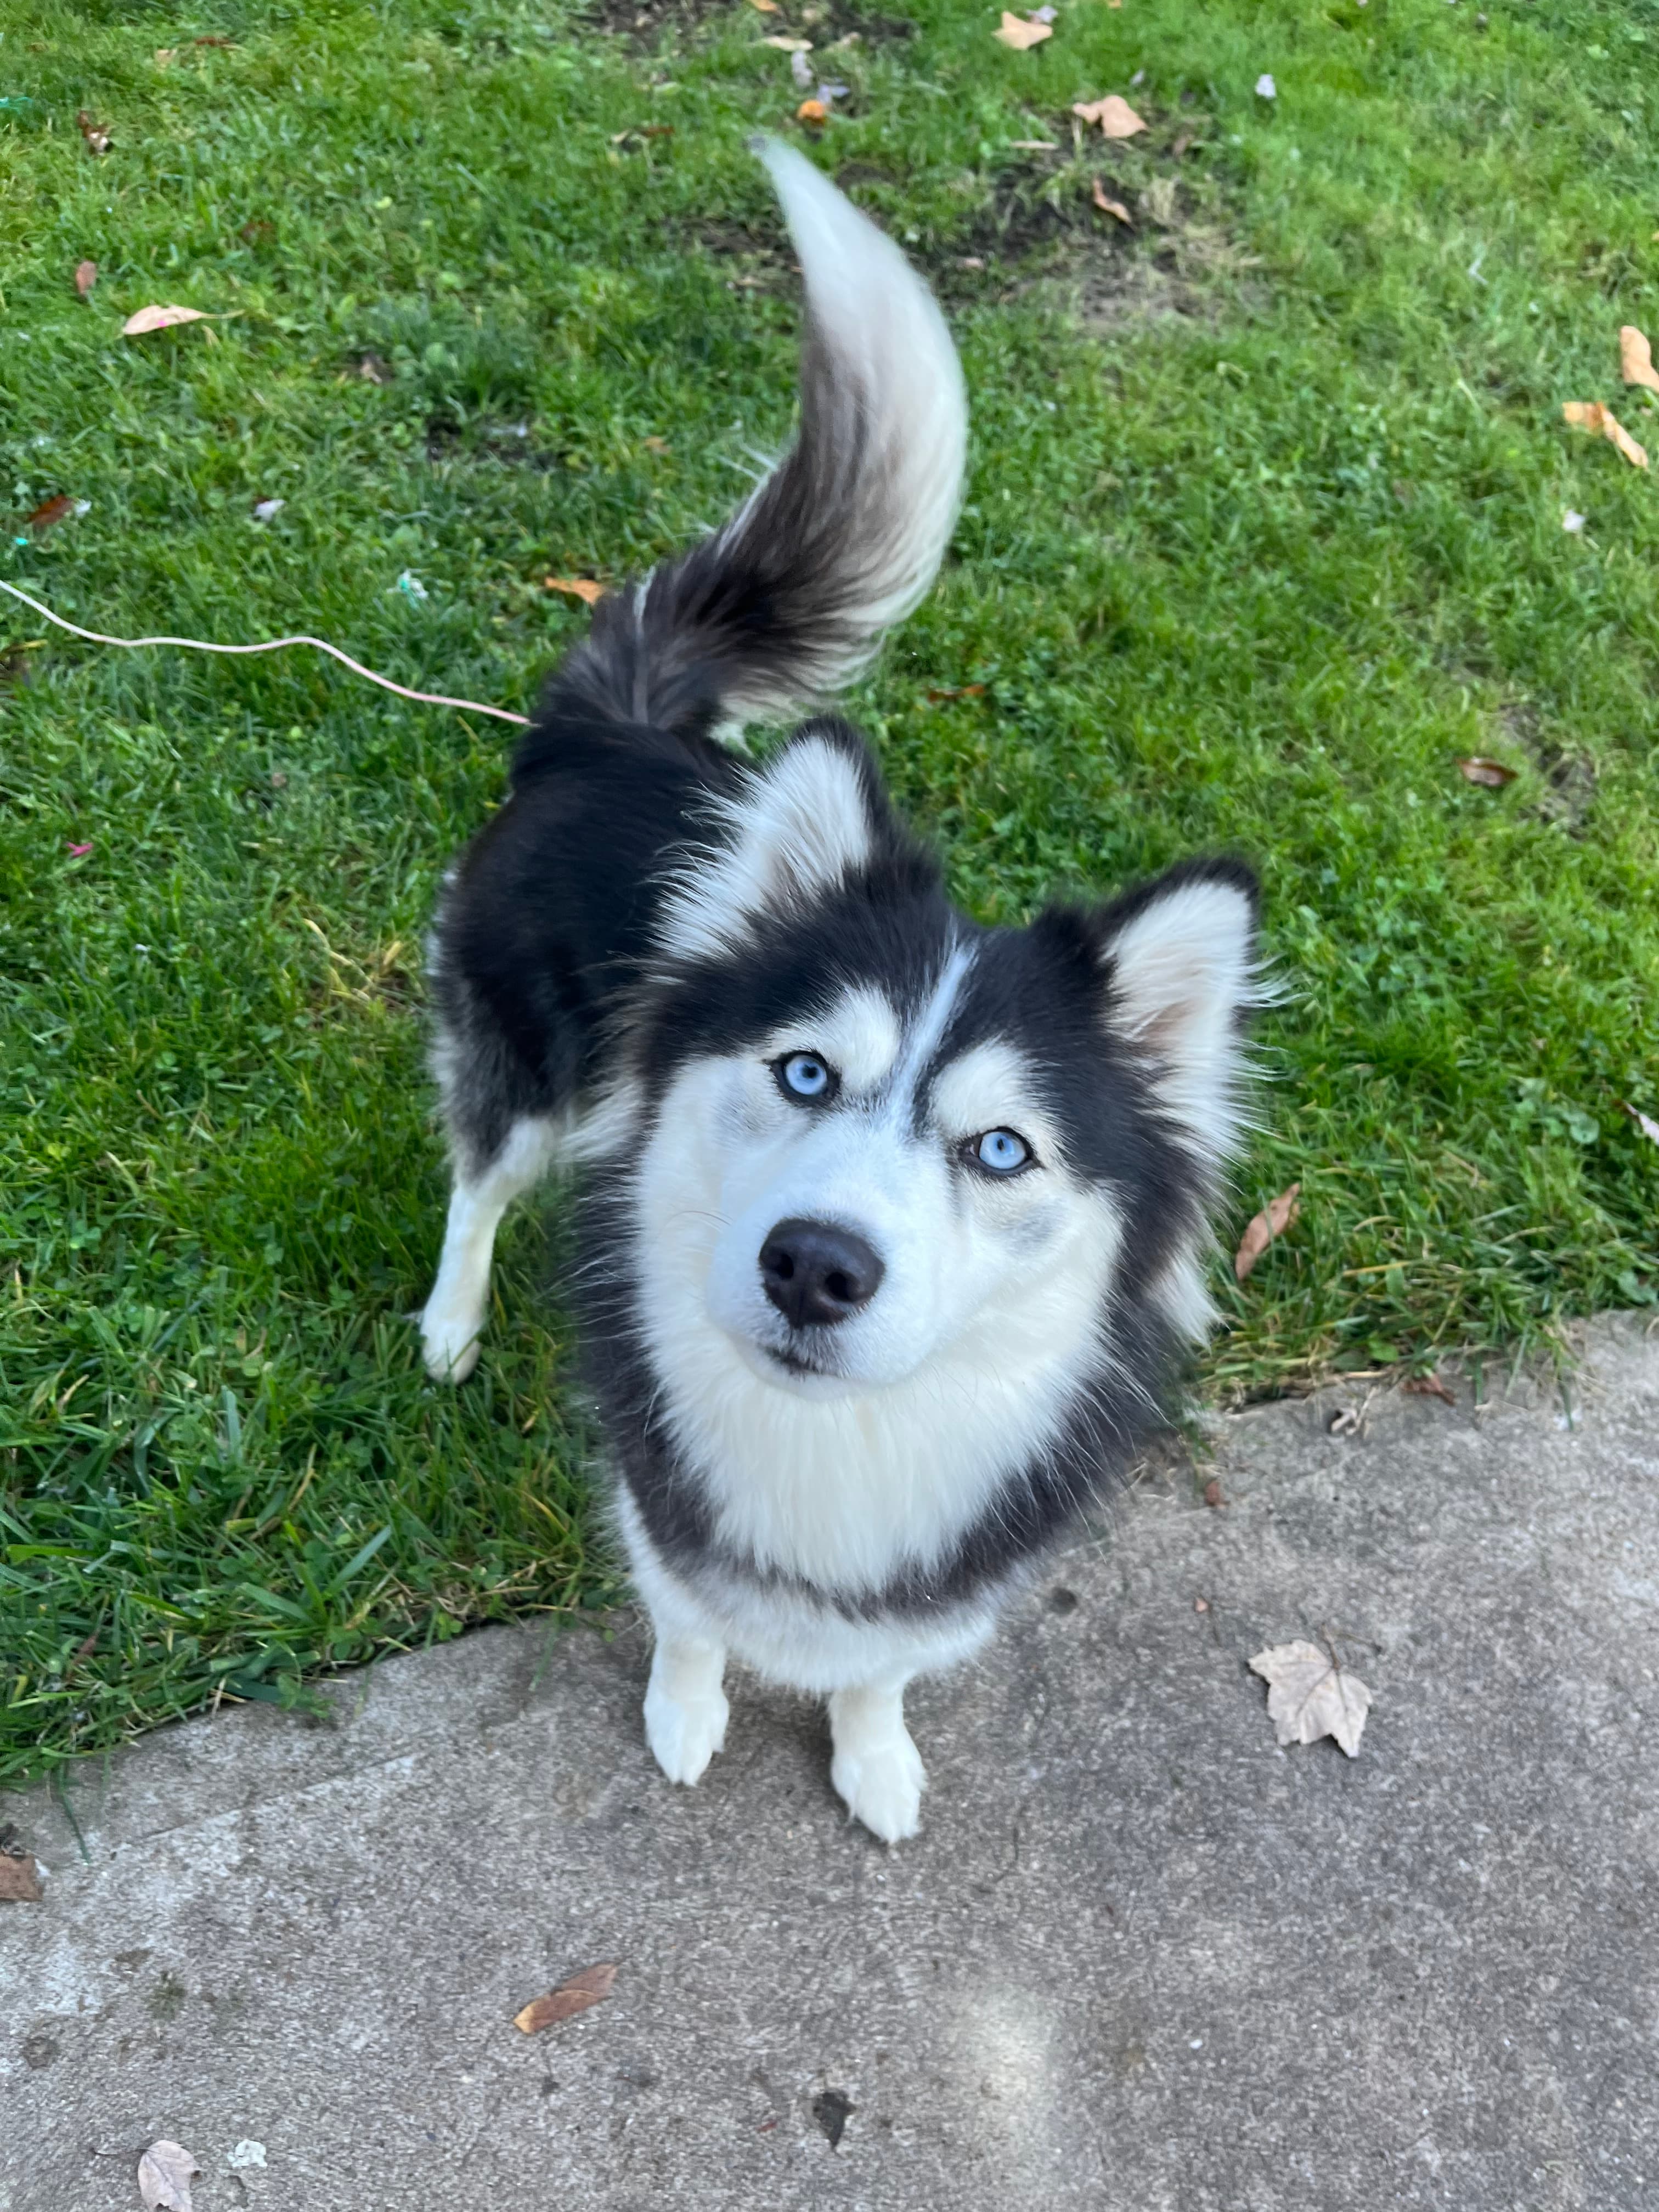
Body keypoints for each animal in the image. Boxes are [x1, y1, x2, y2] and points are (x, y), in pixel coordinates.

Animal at [418, 133, 1256, 1831]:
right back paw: (451, 1324)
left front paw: (873, 1758)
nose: (815, 1266)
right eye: (805, 1071)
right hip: (524, 1066)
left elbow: (880, 1667)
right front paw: (687, 1717)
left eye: (1000, 1149)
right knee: (480, 1180)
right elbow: (688, 1623)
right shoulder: (659, 1488)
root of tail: (617, 734)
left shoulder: (946, 1574)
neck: (842, 1443)